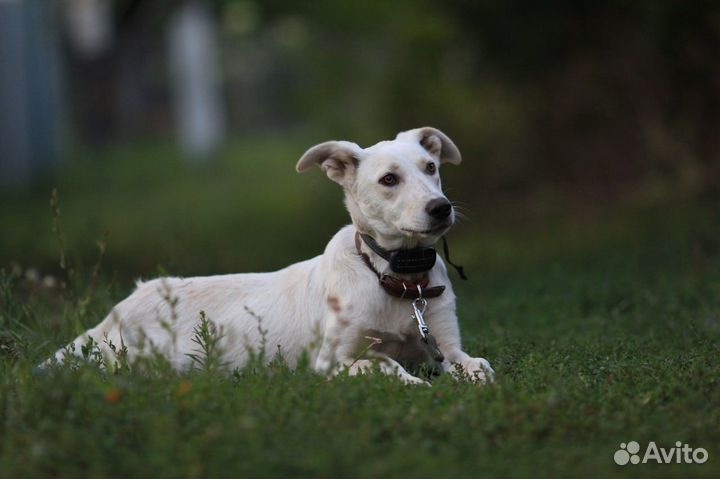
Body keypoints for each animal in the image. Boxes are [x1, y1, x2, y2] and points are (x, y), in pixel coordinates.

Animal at [47, 127, 492, 386]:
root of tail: (116, 313)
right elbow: (382, 364)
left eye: (431, 166)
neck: (399, 278)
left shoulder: (444, 344)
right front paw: (412, 383)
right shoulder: (330, 359)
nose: (441, 208)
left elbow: (477, 364)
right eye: (388, 179)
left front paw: (473, 376)